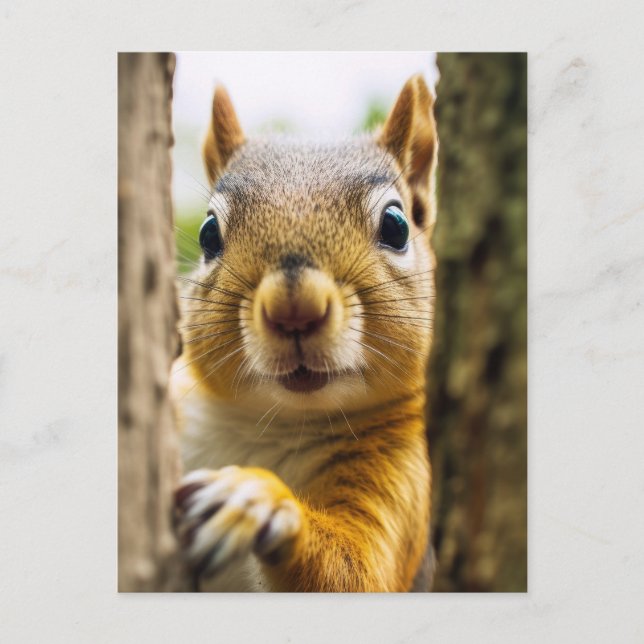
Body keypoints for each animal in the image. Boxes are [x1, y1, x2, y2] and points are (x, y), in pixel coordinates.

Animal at [172, 74, 438, 592]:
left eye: (397, 226)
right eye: (209, 234)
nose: (293, 311)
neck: (273, 423)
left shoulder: (406, 473)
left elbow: (358, 571)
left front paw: (260, 500)